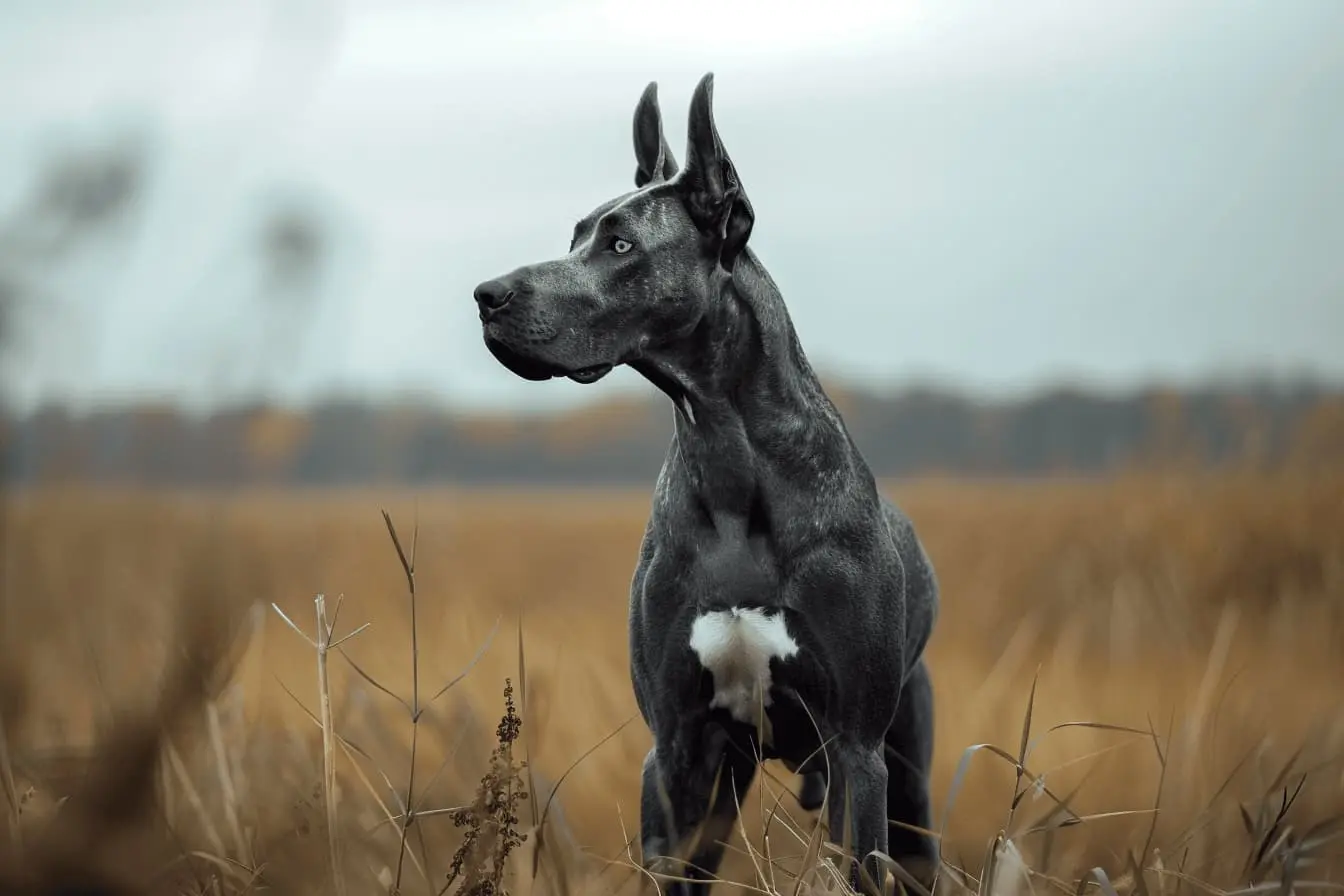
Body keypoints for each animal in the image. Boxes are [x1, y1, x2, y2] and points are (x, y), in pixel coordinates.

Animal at [478, 73, 940, 891]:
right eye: (574, 238)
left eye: (621, 244)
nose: (485, 296)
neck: (728, 457)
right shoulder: (678, 752)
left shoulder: (857, 752)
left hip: (909, 780)